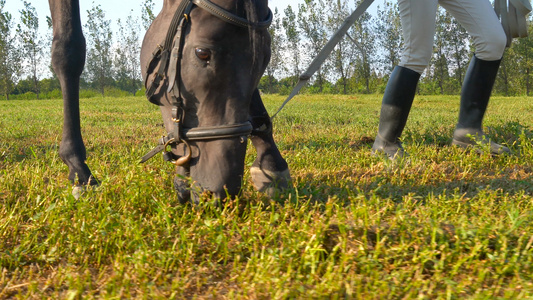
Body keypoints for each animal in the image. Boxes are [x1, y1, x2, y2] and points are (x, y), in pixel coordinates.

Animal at [49, 0, 288, 203]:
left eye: (265, 60)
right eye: (202, 53)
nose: (222, 192)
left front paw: (272, 165)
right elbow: (69, 50)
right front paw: (79, 170)